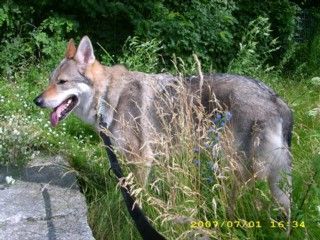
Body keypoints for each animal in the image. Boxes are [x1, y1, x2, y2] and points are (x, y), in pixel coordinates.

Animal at [34, 35, 292, 218]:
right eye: (50, 80)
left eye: (62, 82)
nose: (37, 101)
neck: (107, 97)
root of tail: (277, 100)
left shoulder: (141, 158)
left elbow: (136, 196)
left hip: (237, 167)